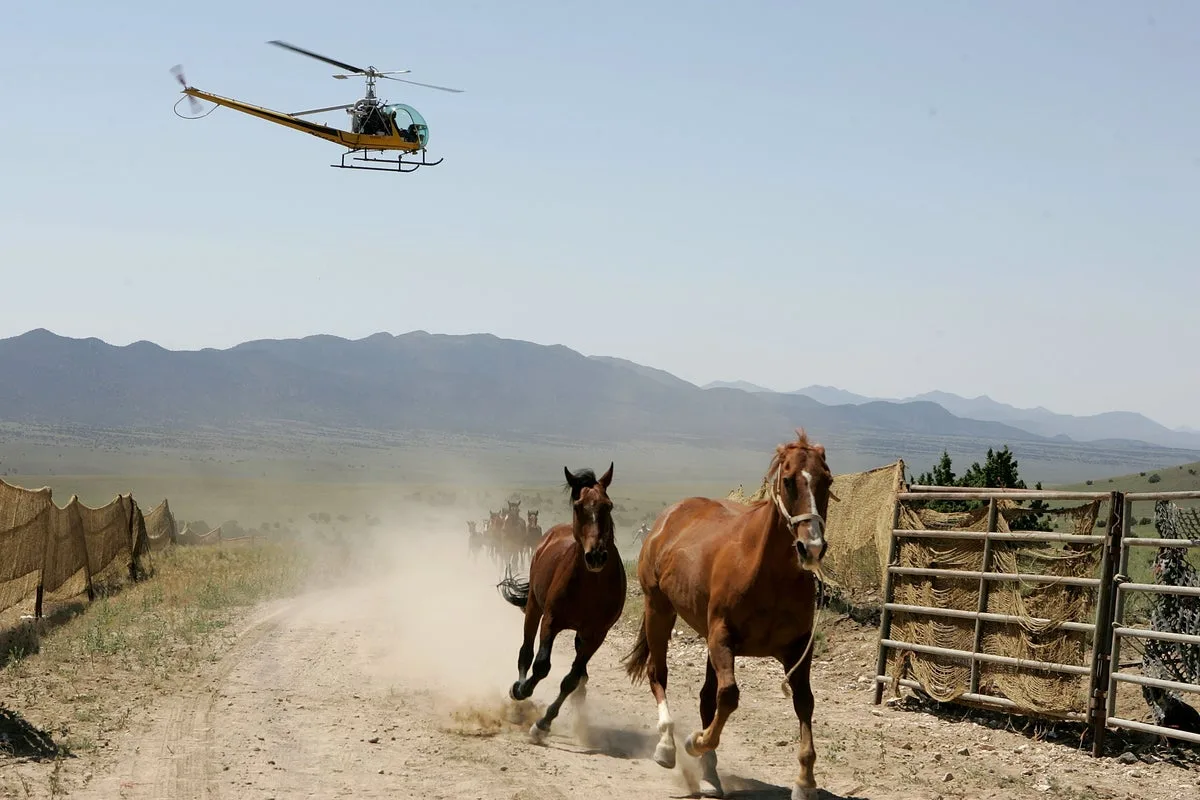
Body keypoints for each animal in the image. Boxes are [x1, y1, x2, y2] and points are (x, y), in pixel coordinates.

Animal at [497, 463, 626, 743]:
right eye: (578, 506)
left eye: (608, 505)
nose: (596, 556)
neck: (592, 585)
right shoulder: (551, 620)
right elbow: (541, 665)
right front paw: (521, 691)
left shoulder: (596, 634)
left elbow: (572, 679)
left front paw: (543, 723)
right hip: (534, 608)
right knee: (526, 651)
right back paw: (518, 692)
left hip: (580, 633)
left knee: (579, 674)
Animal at [622, 430, 833, 800]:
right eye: (789, 480)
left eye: (827, 480)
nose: (812, 548)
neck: (766, 572)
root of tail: (669, 518)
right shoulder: (723, 637)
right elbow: (730, 696)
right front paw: (695, 742)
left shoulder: (797, 647)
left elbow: (804, 702)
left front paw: (805, 782)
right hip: (659, 610)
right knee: (658, 674)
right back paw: (668, 745)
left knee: (707, 699)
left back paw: (709, 775)